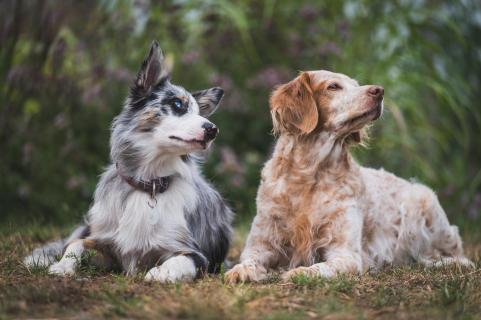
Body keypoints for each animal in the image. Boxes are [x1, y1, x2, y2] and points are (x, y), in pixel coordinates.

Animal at [226, 70, 472, 282]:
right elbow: (249, 260)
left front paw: (299, 272)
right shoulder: (261, 244)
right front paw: (240, 271)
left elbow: (319, 267)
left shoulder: (346, 254)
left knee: (455, 253)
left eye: (356, 84)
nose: (379, 90)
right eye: (333, 86)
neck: (310, 174)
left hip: (425, 202)